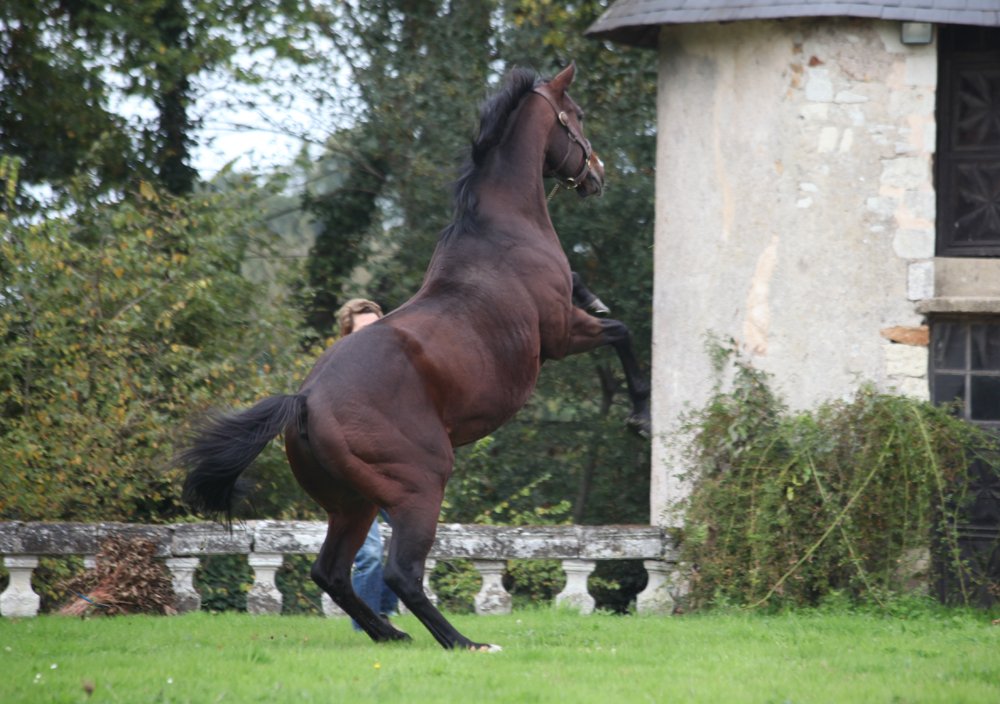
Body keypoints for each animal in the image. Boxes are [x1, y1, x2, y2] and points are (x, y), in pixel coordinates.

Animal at [178, 63, 650, 650]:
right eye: (577, 116)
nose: (598, 174)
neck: (501, 229)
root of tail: (305, 401)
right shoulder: (561, 335)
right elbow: (622, 331)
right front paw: (640, 417)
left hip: (352, 504)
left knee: (330, 572)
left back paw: (390, 634)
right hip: (420, 486)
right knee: (400, 572)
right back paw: (465, 643)